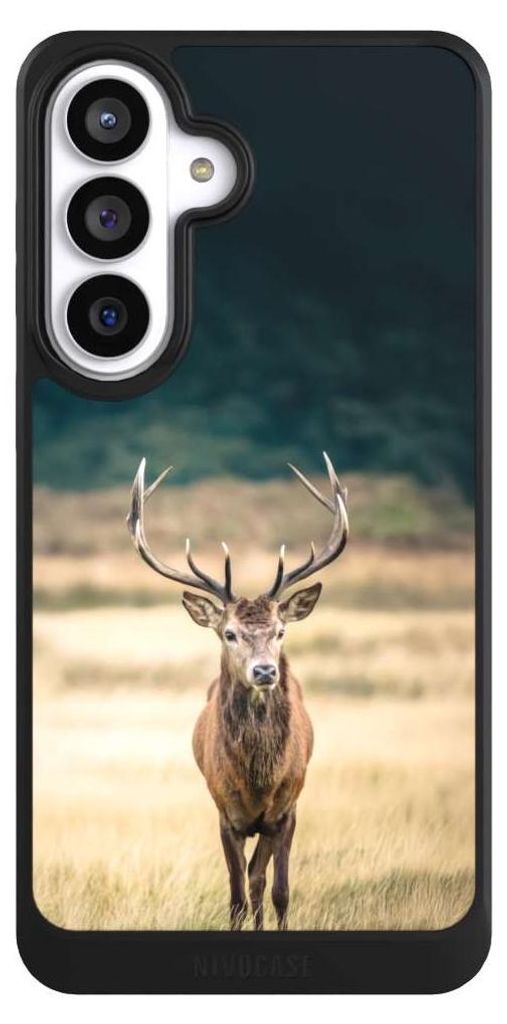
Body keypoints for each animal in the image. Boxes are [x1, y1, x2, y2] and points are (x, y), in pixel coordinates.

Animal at [127, 452, 349, 931]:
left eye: (281, 630)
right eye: (229, 633)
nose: (265, 670)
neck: (257, 782)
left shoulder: (286, 810)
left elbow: (275, 889)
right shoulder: (224, 812)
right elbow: (236, 894)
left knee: (262, 881)